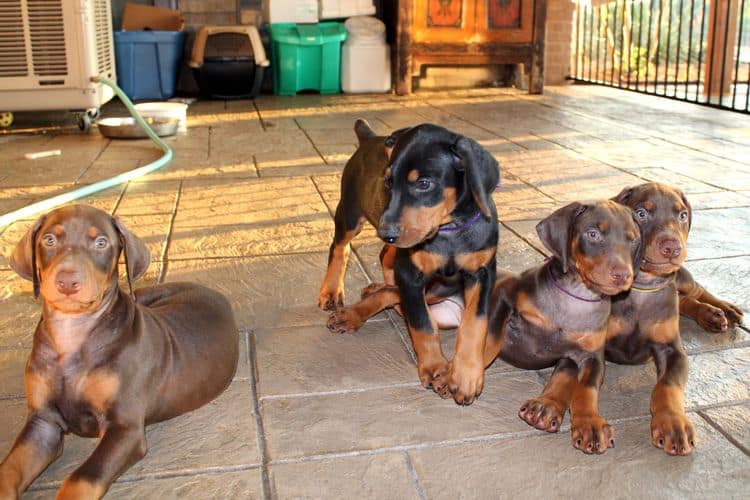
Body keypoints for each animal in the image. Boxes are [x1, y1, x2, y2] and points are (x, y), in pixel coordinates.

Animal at [0, 205, 238, 498]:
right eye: (49, 240)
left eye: (101, 243)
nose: (67, 282)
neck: (72, 332)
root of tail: (210, 290)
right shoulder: (43, 422)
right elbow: (9, 469)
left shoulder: (125, 426)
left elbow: (81, 478)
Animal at [318, 119, 500, 404]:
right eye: (388, 182)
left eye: (424, 183)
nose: (385, 232)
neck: (449, 231)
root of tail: (369, 138)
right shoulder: (411, 274)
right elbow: (422, 324)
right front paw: (435, 368)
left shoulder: (482, 273)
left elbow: (475, 322)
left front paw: (466, 376)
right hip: (350, 213)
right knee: (341, 247)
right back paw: (333, 292)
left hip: (435, 282)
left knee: (387, 268)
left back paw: (369, 295)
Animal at [484, 198, 644, 454]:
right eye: (593, 234)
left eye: (633, 239)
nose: (623, 275)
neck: (577, 297)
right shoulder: (505, 295)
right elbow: (487, 341)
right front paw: (462, 377)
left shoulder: (591, 356)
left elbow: (585, 386)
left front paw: (589, 422)